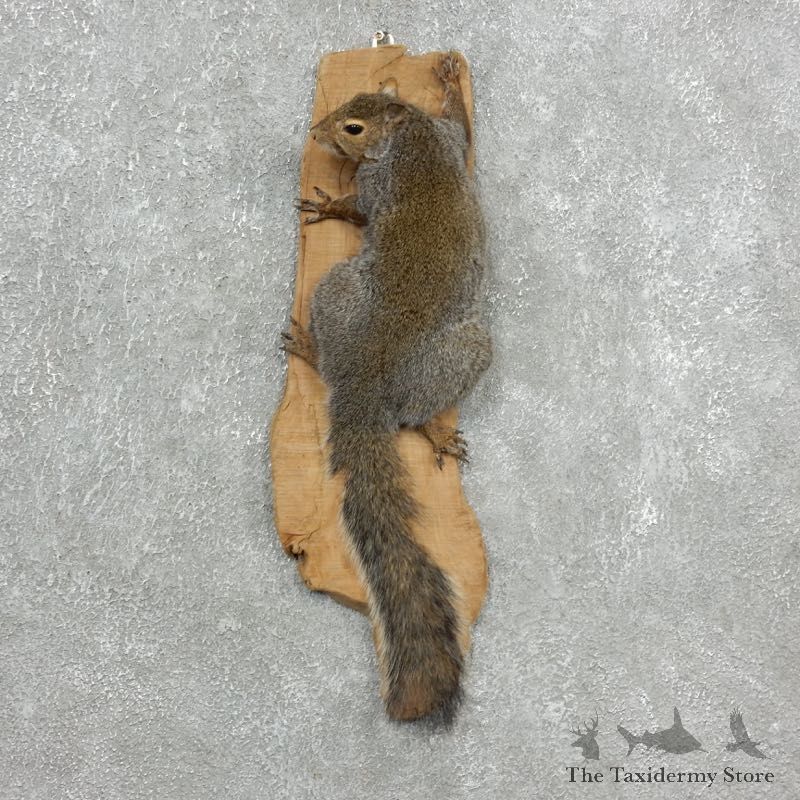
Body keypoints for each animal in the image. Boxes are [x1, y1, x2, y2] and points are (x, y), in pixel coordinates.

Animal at [282, 52, 491, 722]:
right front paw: (449, 82)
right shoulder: (447, 140)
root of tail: (365, 381)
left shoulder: (387, 177)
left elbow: (361, 209)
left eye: (352, 126)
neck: (409, 135)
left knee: (407, 414)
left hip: (341, 291)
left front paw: (331, 206)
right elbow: (462, 126)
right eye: (353, 100)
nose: (316, 132)